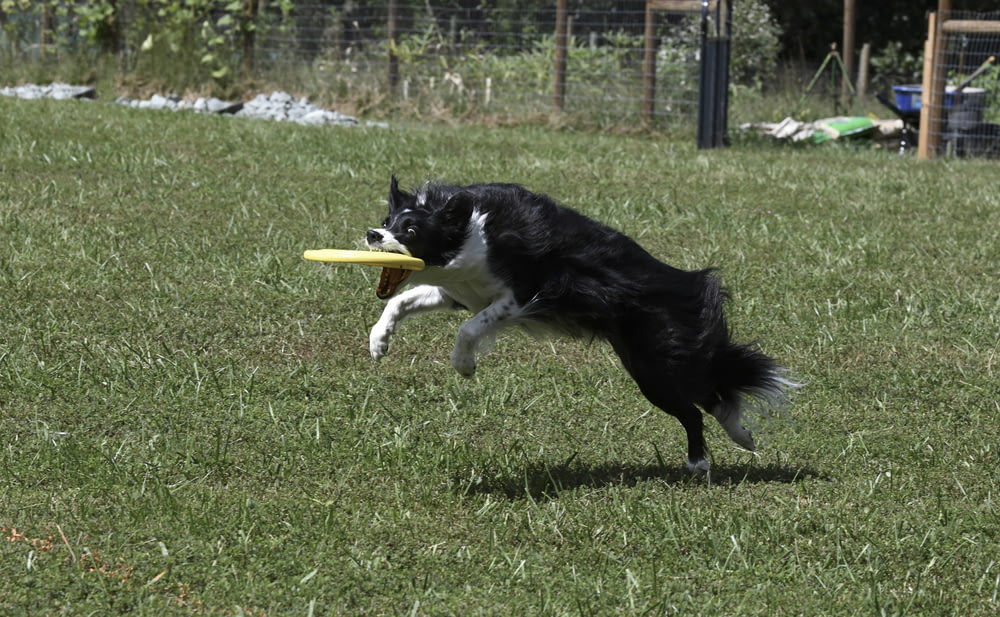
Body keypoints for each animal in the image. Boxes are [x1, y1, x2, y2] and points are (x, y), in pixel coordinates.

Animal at [364, 176, 792, 474]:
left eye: (411, 231)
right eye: (386, 220)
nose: (372, 234)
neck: (471, 230)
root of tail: (685, 286)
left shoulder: (522, 294)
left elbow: (469, 329)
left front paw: (464, 365)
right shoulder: (460, 292)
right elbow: (400, 301)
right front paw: (378, 342)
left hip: (656, 366)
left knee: (697, 407)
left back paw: (699, 463)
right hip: (647, 364)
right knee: (712, 394)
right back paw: (742, 436)